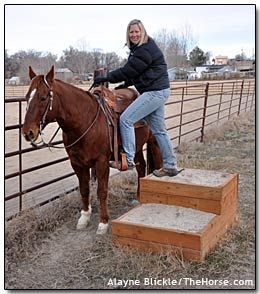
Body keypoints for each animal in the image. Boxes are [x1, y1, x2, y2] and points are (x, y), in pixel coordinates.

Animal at [21, 66, 162, 234]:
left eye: (43, 98)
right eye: (27, 97)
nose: (28, 132)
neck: (84, 121)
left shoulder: (101, 162)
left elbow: (102, 191)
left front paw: (103, 222)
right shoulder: (77, 164)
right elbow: (84, 189)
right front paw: (84, 218)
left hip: (154, 140)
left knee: (158, 158)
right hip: (137, 147)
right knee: (141, 166)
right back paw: (139, 197)